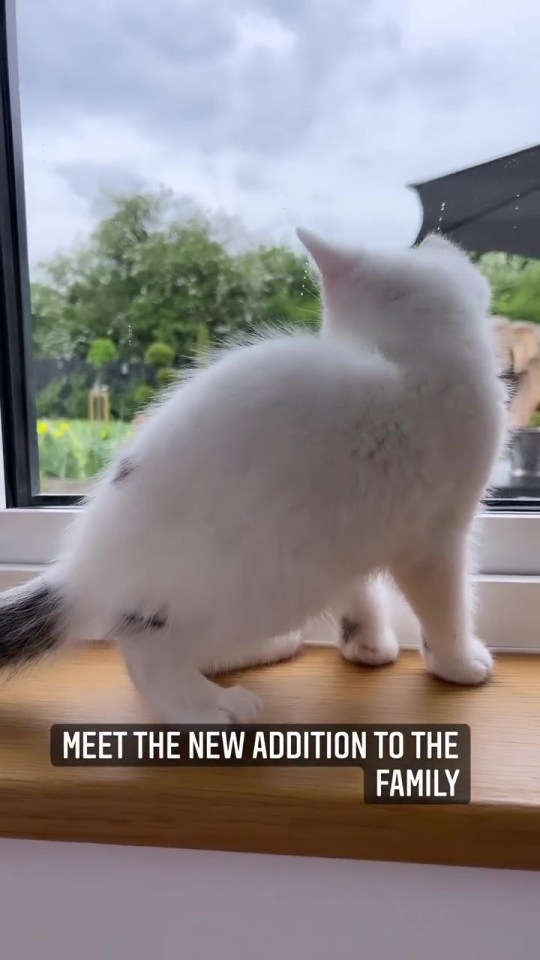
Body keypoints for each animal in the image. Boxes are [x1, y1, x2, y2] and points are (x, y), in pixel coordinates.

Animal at [0, 231, 506, 720]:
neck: (410, 360)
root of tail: (84, 573)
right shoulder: (435, 536)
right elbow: (445, 606)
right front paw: (458, 662)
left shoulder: (358, 532)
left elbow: (359, 592)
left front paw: (366, 644)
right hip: (265, 585)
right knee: (148, 655)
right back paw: (210, 707)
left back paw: (263, 652)